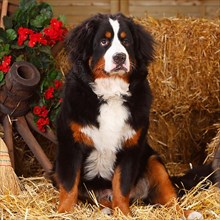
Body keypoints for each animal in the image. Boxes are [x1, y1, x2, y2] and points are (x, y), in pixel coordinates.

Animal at [54, 12, 218, 219]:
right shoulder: (71, 145)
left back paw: (188, 212)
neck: (111, 93)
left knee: (169, 199)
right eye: (103, 41)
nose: (119, 57)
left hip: (154, 162)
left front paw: (123, 213)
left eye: (126, 42)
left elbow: (121, 186)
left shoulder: (130, 146)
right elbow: (69, 186)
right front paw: (64, 213)